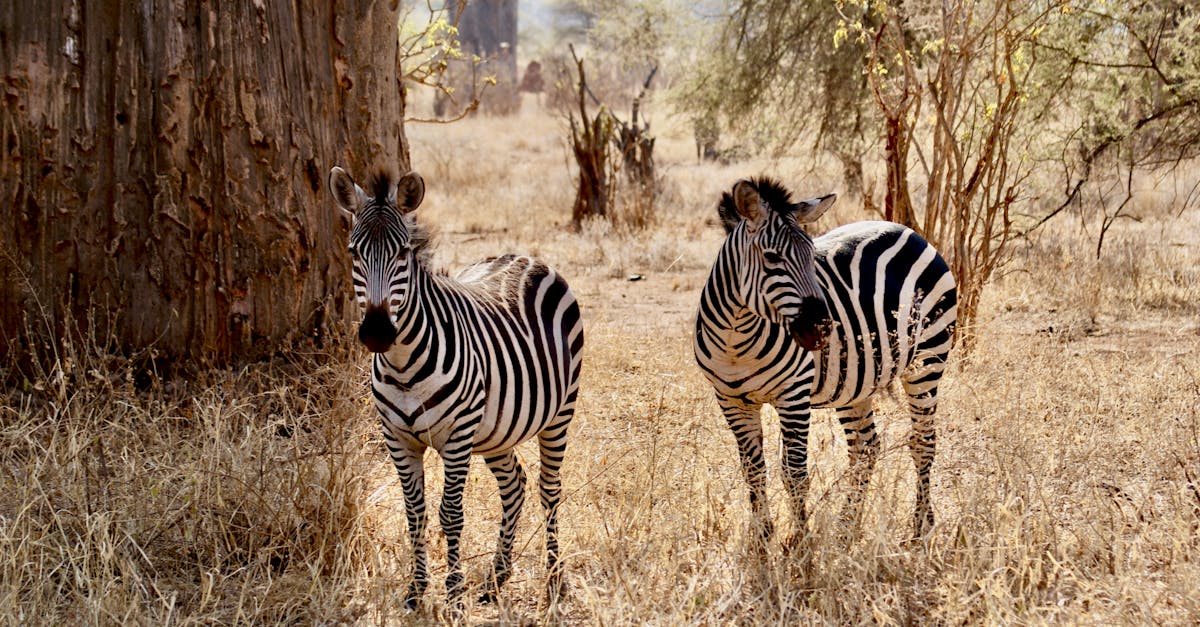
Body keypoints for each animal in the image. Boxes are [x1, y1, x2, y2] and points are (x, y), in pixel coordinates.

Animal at [328, 165, 585, 605]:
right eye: (353, 252)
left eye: (403, 253)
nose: (377, 333)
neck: (403, 367)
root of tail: (524, 256)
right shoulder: (397, 438)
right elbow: (415, 513)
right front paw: (416, 591)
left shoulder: (457, 436)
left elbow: (450, 514)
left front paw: (452, 594)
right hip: (497, 428)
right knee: (514, 485)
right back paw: (497, 576)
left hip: (558, 414)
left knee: (549, 489)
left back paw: (555, 579)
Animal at [696, 175, 955, 540]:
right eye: (772, 258)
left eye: (811, 254)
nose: (821, 328)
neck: (737, 340)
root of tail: (907, 229)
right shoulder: (730, 400)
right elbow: (753, 471)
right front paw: (761, 539)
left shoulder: (793, 396)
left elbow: (794, 474)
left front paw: (800, 544)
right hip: (856, 380)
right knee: (865, 447)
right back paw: (847, 528)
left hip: (928, 358)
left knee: (923, 441)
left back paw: (920, 526)